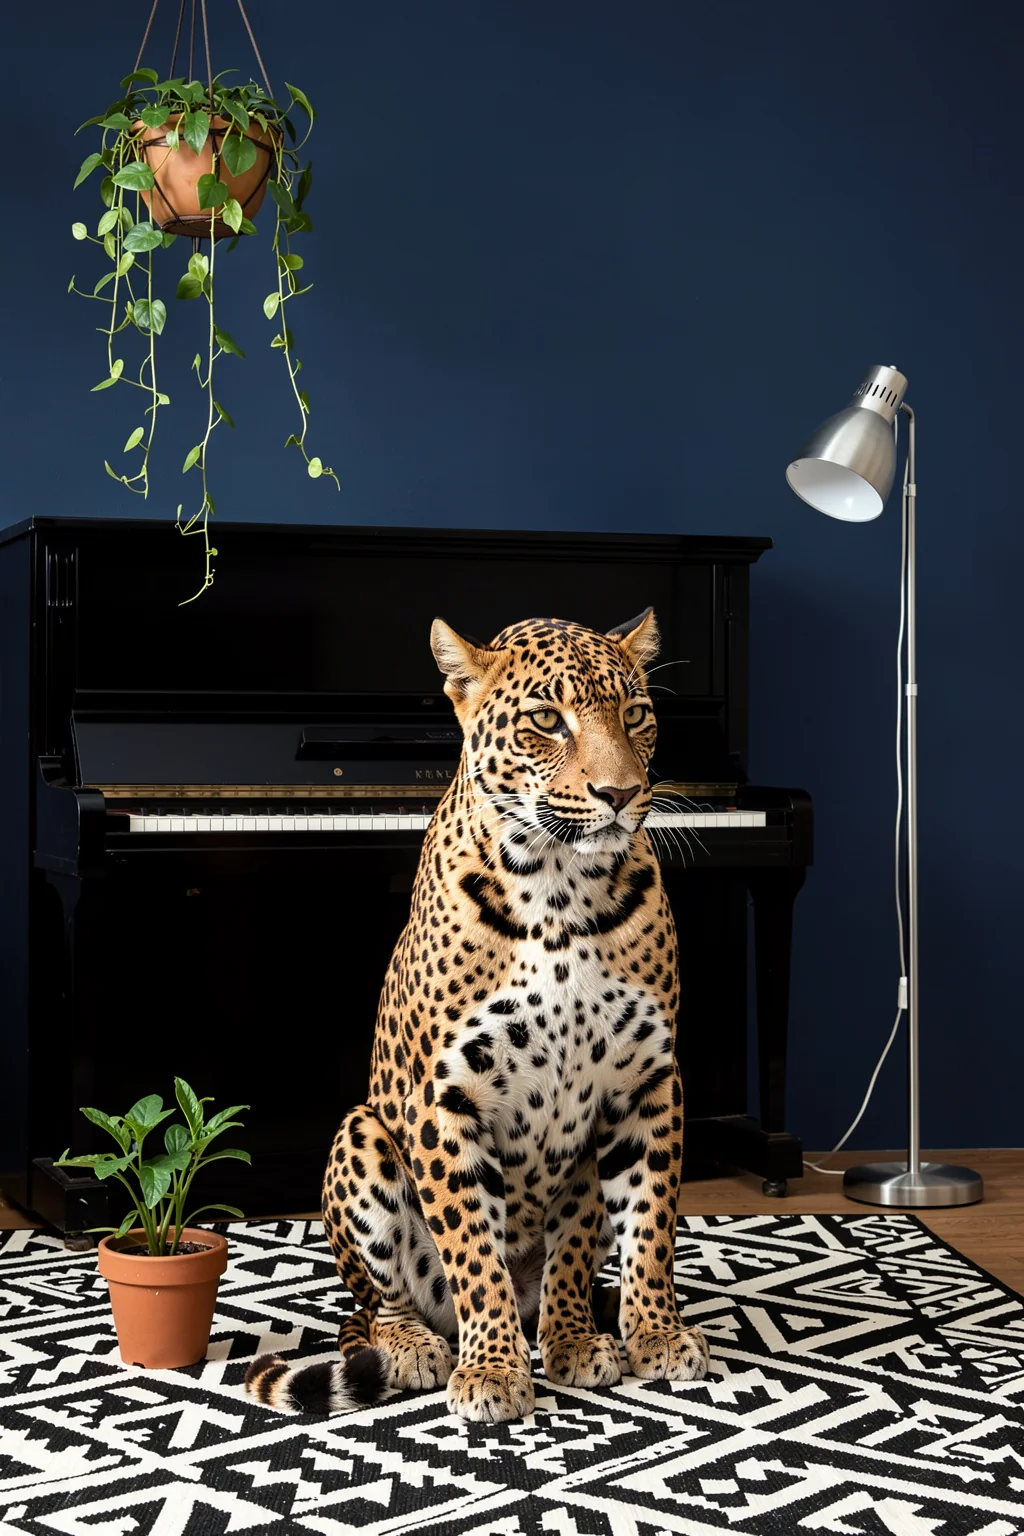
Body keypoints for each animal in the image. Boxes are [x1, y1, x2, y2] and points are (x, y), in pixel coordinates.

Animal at [246, 606, 709, 1422]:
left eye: (635, 715)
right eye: (546, 721)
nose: (621, 793)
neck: (561, 890)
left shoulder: (646, 1082)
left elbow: (648, 1221)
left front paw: (652, 1333)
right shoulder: (445, 1095)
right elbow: (472, 1247)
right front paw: (492, 1370)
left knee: (565, 1263)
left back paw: (570, 1332)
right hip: (360, 1136)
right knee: (380, 1305)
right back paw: (419, 1348)